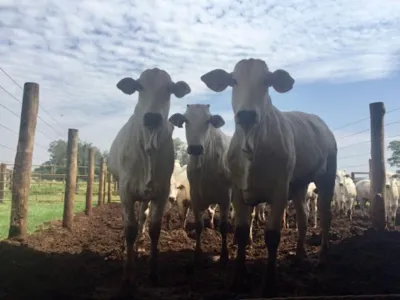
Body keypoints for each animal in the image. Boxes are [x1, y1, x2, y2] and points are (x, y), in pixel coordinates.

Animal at [168, 103, 231, 264]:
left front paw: (224, 255)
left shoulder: (225, 199)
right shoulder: (195, 198)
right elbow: (199, 226)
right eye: (186, 120)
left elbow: (223, 227)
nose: (195, 148)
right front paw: (197, 254)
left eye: (208, 121)